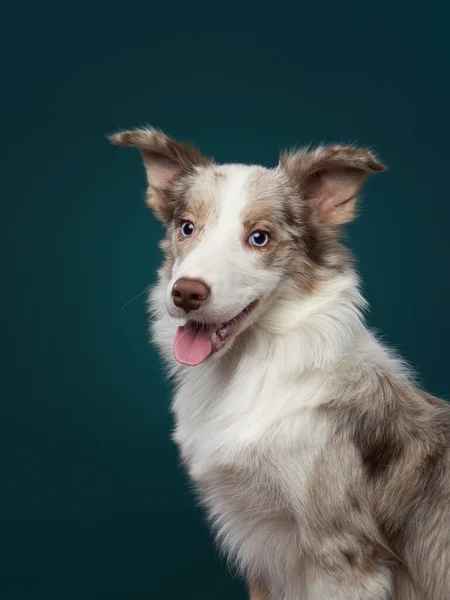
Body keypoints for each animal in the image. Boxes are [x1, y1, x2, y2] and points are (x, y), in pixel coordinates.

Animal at [110, 127, 450, 600]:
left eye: (260, 238)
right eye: (187, 228)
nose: (185, 293)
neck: (248, 368)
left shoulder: (342, 554)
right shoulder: (262, 552)